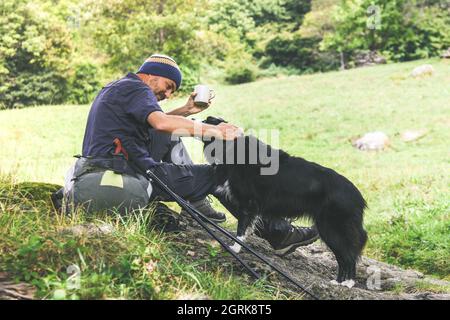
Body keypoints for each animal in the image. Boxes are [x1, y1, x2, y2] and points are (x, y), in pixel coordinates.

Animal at [202, 116, 368, 284]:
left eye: (207, 121)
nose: (198, 119)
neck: (232, 146)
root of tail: (359, 198)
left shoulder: (248, 203)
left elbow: (241, 228)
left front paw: (235, 248)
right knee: (344, 257)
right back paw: (339, 282)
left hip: (332, 228)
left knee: (348, 256)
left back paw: (347, 283)